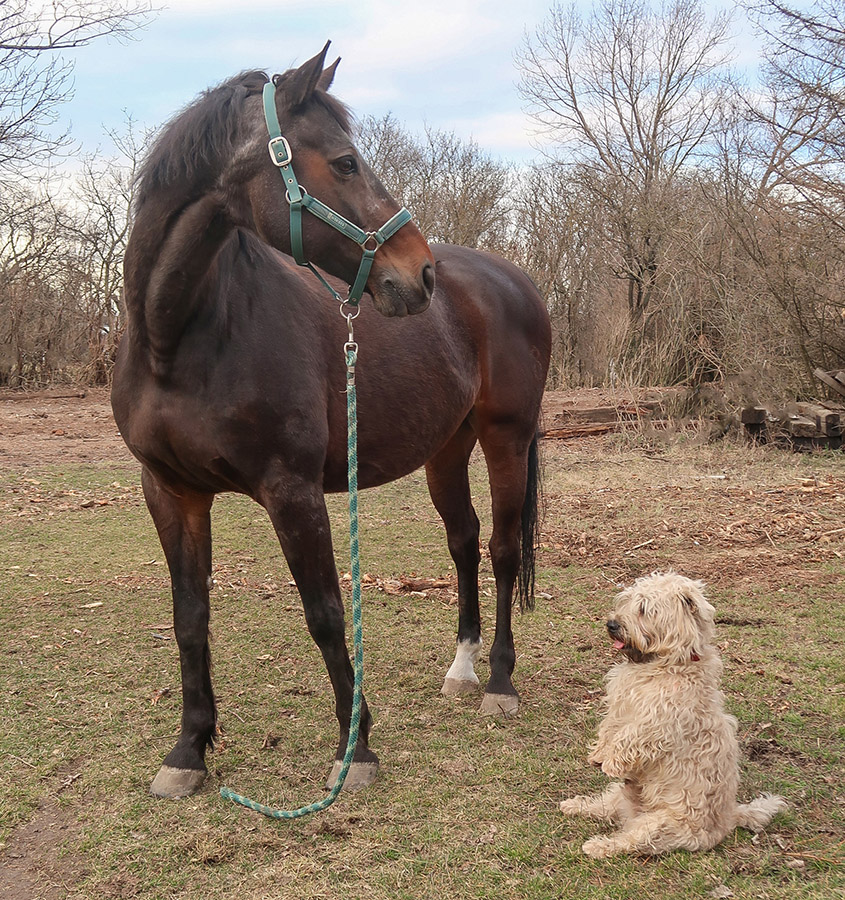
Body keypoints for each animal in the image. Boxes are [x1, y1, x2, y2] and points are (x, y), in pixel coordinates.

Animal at [111, 44, 551, 799]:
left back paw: (498, 681)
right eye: (344, 162)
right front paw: (189, 750)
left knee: (500, 549)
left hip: (506, 439)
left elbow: (324, 614)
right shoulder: (170, 492)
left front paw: (358, 747)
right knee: (464, 542)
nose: (420, 273)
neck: (181, 337)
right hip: (445, 449)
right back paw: (463, 669)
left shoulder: (291, 491)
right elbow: (189, 618)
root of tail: (513, 281)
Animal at [560, 572, 786, 857]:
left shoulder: (657, 721)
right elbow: (609, 728)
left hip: (658, 825)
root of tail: (729, 819)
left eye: (644, 608)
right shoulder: (620, 703)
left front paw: (611, 762)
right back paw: (575, 806)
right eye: (628, 600)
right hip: (623, 796)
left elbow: (628, 739)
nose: (612, 624)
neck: (664, 664)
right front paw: (598, 755)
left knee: (628, 840)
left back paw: (598, 845)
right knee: (606, 805)